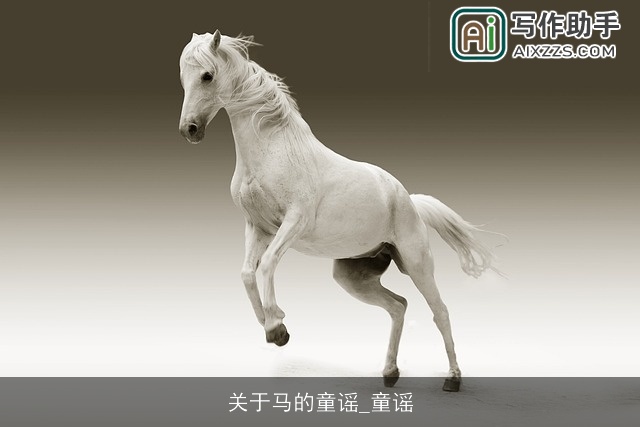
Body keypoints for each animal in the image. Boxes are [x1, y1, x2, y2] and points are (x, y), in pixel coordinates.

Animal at [178, 30, 500, 392]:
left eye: (207, 76)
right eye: (183, 78)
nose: (189, 130)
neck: (273, 150)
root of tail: (409, 200)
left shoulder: (294, 222)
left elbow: (268, 264)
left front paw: (276, 326)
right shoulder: (257, 227)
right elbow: (247, 273)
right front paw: (273, 326)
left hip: (417, 264)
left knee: (440, 311)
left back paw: (453, 379)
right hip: (353, 276)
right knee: (398, 306)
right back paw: (390, 373)